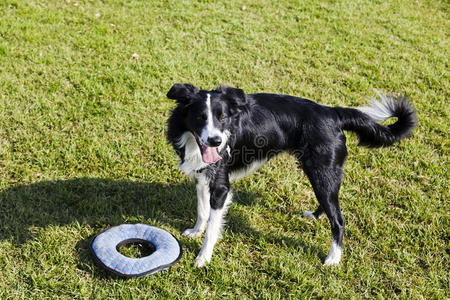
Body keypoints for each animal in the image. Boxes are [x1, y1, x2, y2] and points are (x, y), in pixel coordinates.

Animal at [167, 84, 416, 268]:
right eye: (201, 117)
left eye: (223, 117)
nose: (216, 141)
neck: (193, 141)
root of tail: (332, 112)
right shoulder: (202, 177)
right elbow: (202, 211)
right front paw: (195, 231)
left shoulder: (221, 187)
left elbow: (212, 226)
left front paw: (203, 257)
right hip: (321, 173)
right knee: (330, 203)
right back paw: (315, 217)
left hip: (321, 171)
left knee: (338, 219)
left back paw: (333, 258)